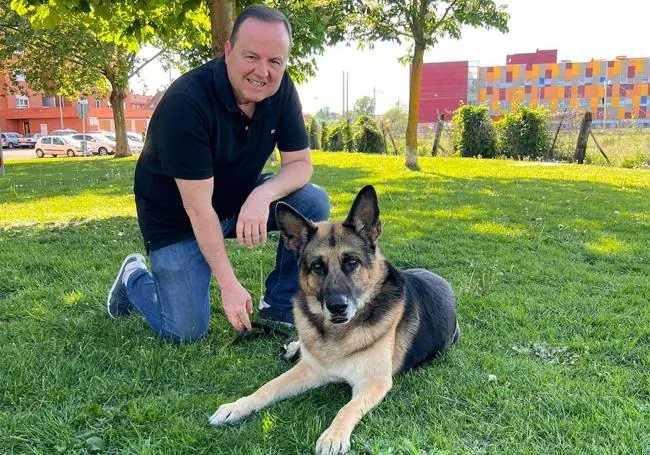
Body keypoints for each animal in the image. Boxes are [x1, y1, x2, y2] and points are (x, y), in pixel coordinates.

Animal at [208, 186, 456, 455]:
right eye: (317, 266)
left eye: (352, 262)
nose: (337, 307)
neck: (338, 335)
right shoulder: (311, 369)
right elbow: (268, 387)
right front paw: (237, 406)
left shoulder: (374, 382)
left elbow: (347, 408)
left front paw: (333, 436)